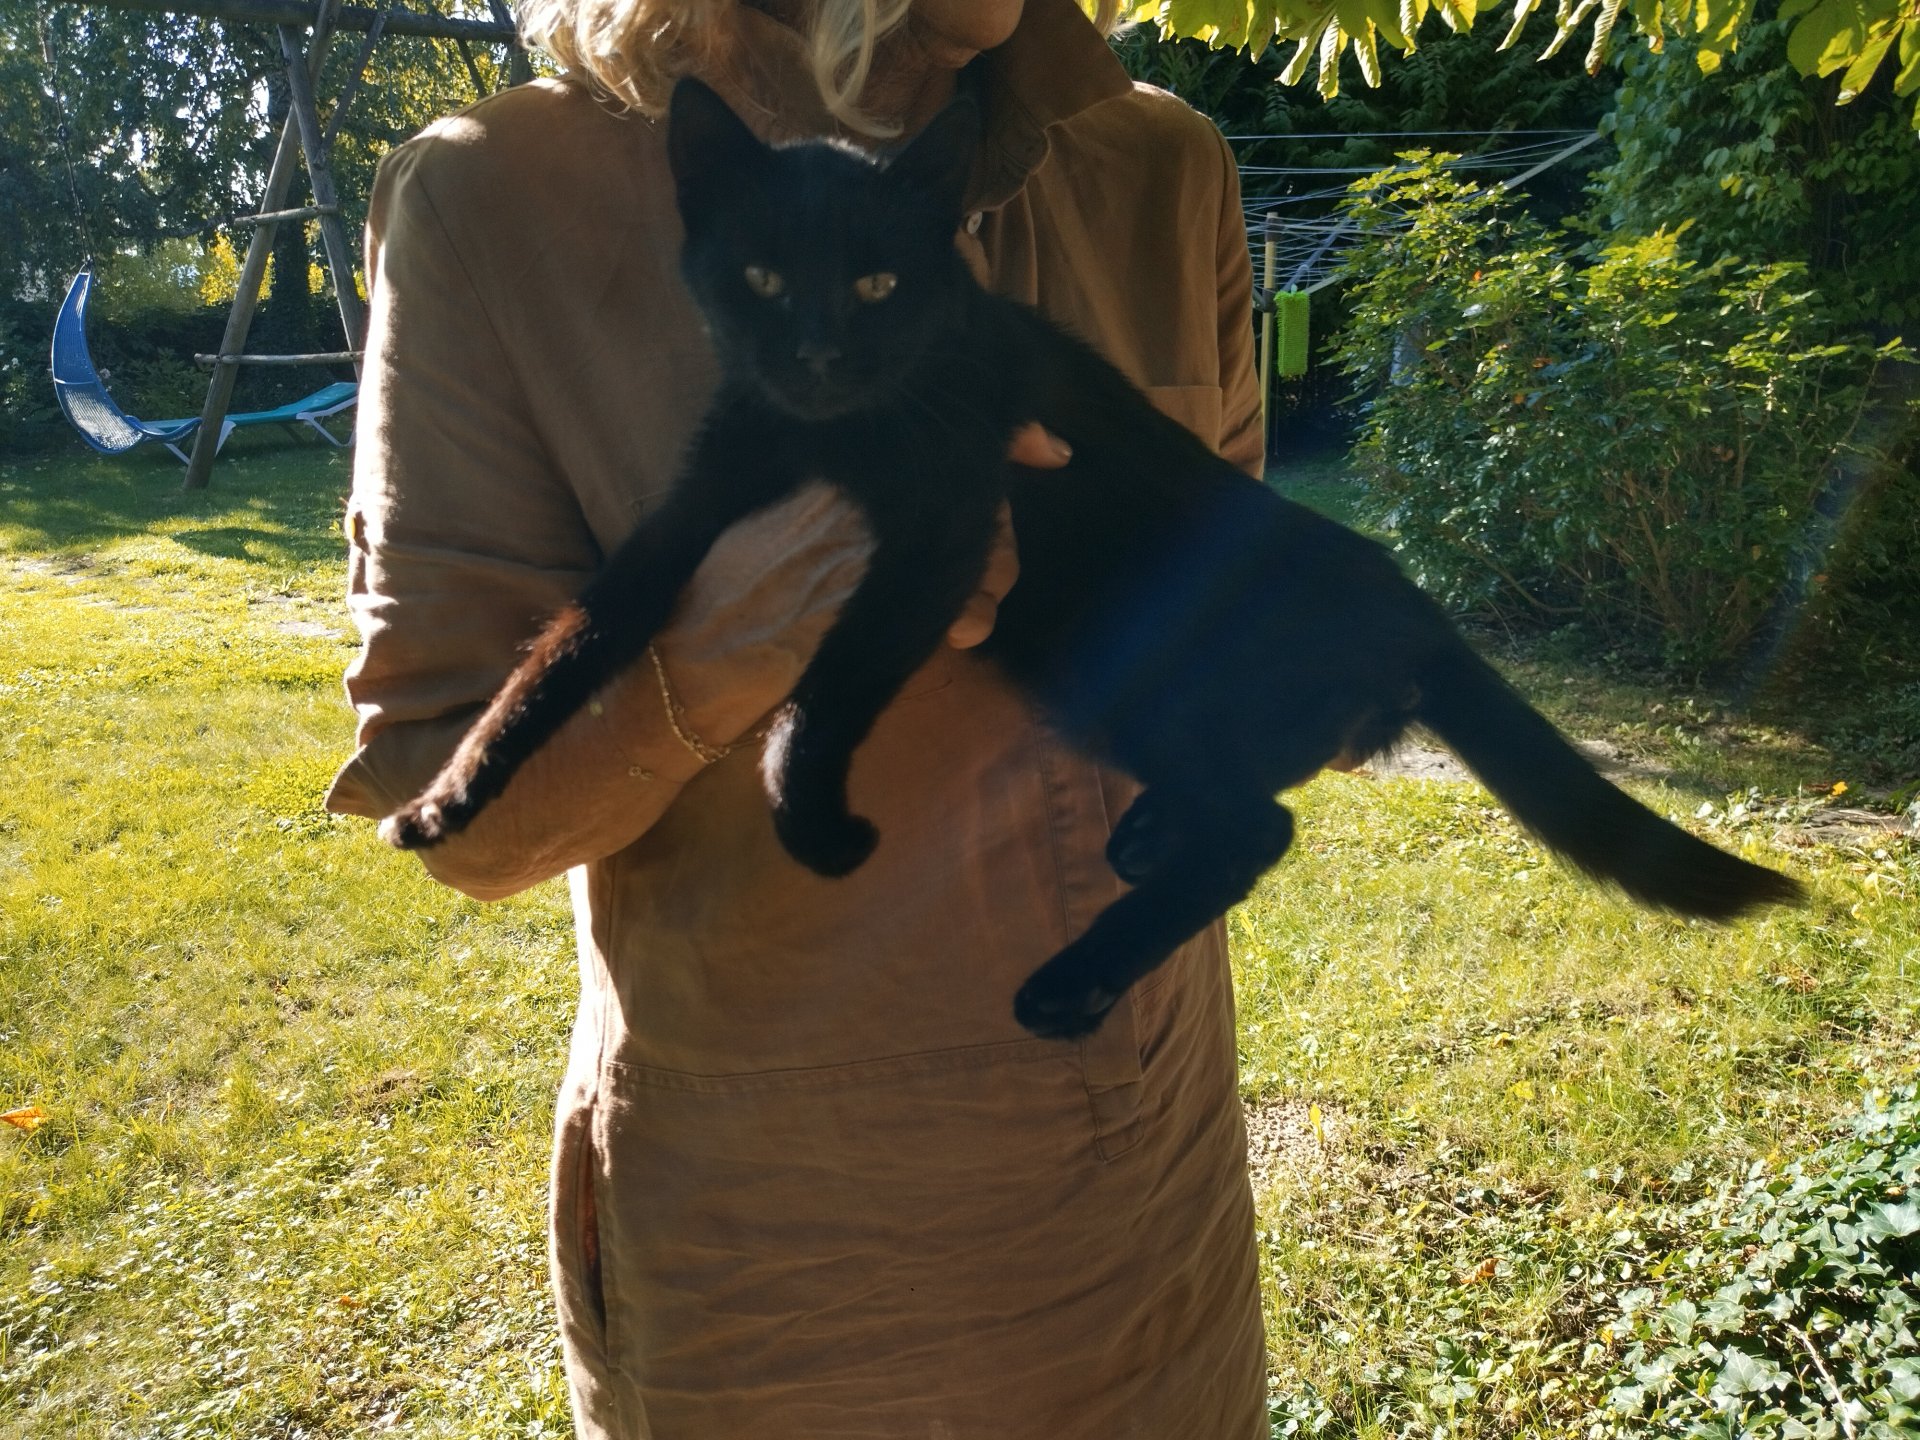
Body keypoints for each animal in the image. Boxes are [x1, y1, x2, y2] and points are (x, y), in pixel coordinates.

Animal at [382, 77, 1801, 1039]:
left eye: (883, 284)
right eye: (764, 277)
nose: (822, 356)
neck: (828, 434)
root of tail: (1416, 610)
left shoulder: (949, 531)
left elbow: (822, 687)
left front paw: (813, 817)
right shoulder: (694, 517)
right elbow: (563, 650)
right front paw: (449, 797)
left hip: (1114, 654)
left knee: (1261, 827)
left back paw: (1074, 976)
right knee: (1243, 812)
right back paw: (1140, 847)